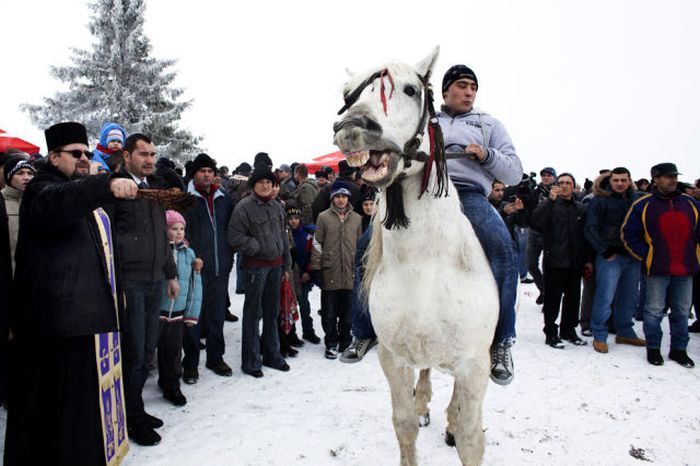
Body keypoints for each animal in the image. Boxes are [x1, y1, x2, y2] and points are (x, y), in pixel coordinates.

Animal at [332, 48, 498, 466]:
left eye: (409, 89)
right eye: (347, 93)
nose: (352, 127)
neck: (425, 269)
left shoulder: (474, 367)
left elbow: (471, 437)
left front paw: (458, 429)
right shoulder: (393, 359)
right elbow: (404, 424)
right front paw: (417, 411)